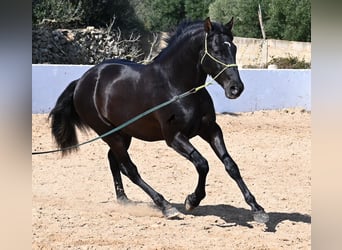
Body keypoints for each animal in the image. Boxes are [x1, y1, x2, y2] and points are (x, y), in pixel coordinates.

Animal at [49, 17, 268, 222]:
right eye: (215, 50)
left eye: (234, 48)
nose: (236, 88)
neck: (177, 86)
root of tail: (82, 81)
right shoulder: (174, 137)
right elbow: (202, 164)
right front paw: (192, 201)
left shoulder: (211, 130)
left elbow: (231, 165)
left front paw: (258, 209)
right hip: (108, 134)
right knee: (130, 169)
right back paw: (165, 206)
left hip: (123, 133)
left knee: (114, 160)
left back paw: (124, 200)